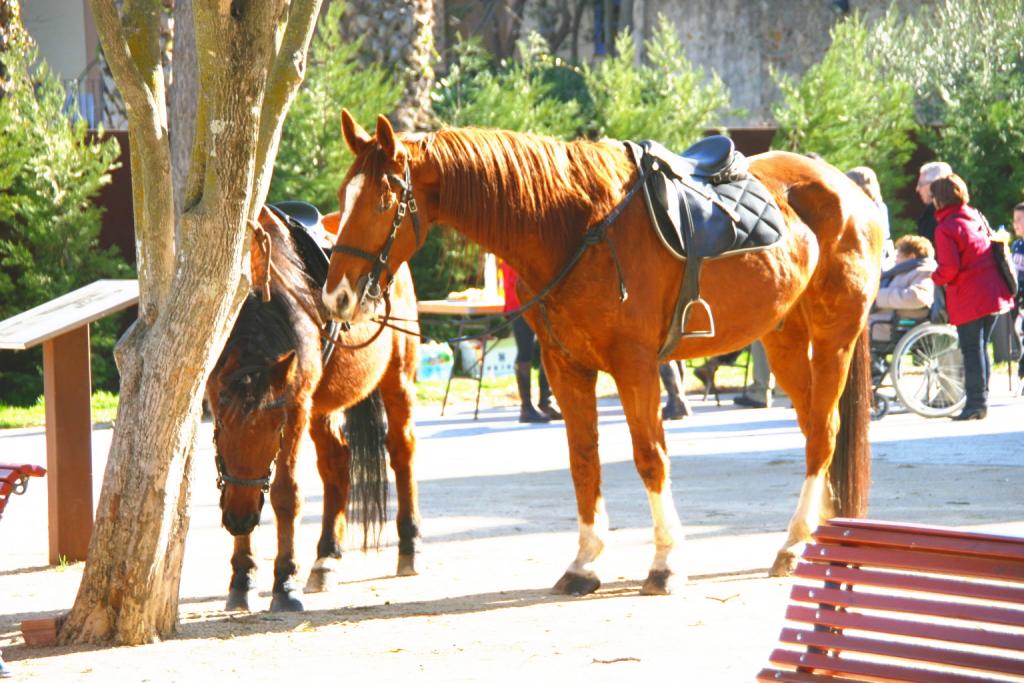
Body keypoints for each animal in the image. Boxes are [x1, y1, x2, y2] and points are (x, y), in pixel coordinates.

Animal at [207, 205, 419, 610]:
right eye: (219, 427)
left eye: (275, 428)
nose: (240, 519)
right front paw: (243, 578)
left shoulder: (297, 409)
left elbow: (286, 494)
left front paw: (285, 582)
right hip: (323, 406)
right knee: (337, 462)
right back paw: (326, 557)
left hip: (396, 378)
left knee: (402, 450)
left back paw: (410, 543)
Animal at [319, 112, 880, 593]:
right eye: (343, 197)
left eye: (383, 200)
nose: (337, 296)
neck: (575, 227)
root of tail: (849, 190)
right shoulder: (565, 366)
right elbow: (583, 459)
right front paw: (585, 563)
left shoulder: (635, 366)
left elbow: (650, 457)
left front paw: (666, 562)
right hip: (784, 340)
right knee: (814, 427)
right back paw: (815, 533)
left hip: (833, 338)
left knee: (823, 433)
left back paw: (794, 544)